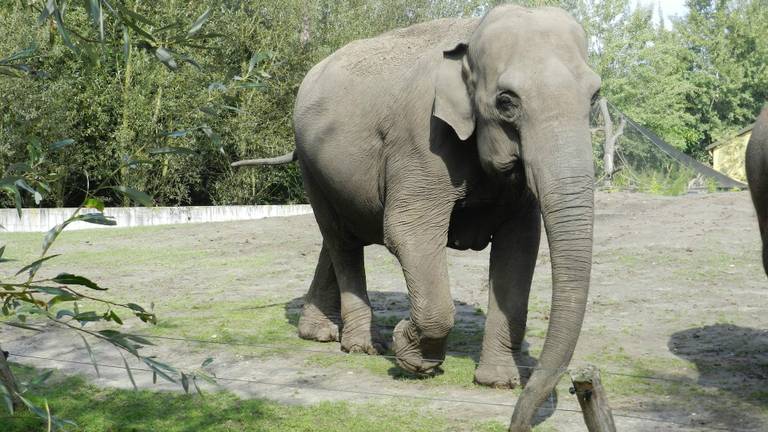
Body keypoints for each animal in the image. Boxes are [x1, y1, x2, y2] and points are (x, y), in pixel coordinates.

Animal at [234, 5, 600, 430]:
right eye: (507, 102)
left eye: (595, 97)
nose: (516, 422)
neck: (471, 36)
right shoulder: (421, 140)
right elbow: (408, 232)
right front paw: (412, 356)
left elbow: (520, 248)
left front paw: (497, 382)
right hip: (311, 165)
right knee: (341, 239)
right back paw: (363, 346)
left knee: (337, 236)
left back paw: (319, 334)